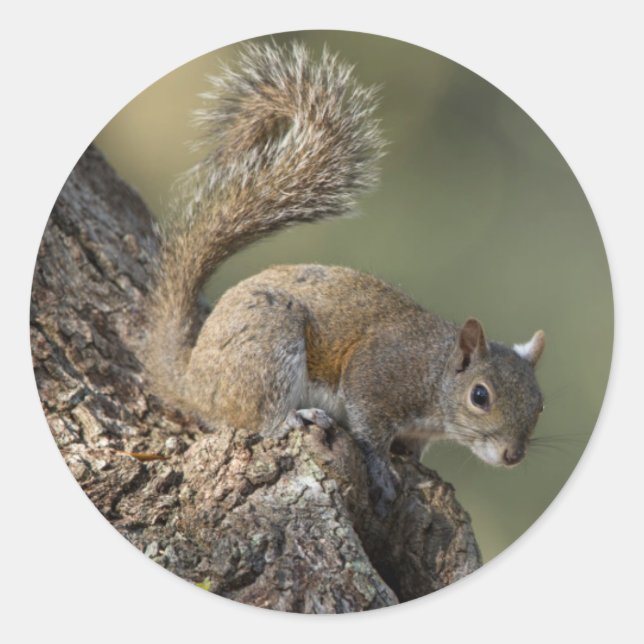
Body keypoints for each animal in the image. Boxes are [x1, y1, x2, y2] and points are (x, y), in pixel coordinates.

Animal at [143, 41, 545, 514]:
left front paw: (417, 463)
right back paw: (293, 417)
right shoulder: (377, 376)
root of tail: (192, 381)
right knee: (257, 416)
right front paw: (382, 471)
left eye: (540, 404)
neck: (435, 373)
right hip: (268, 346)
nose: (513, 455)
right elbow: (370, 431)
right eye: (480, 396)